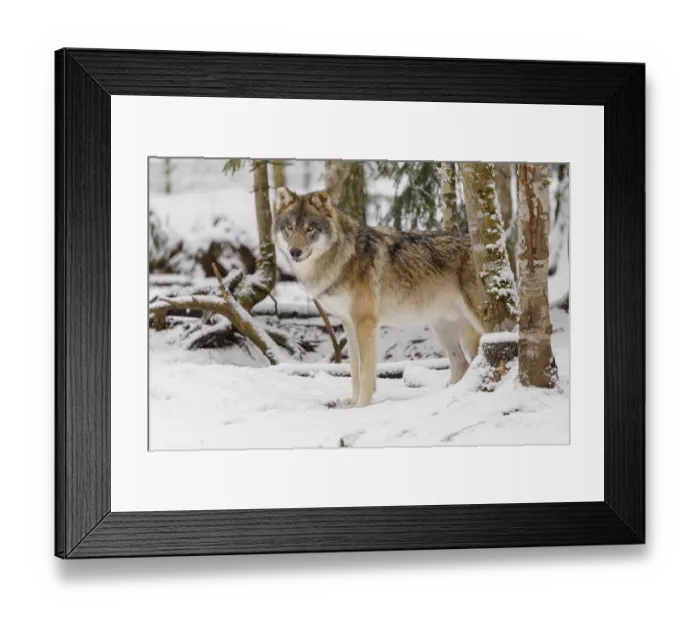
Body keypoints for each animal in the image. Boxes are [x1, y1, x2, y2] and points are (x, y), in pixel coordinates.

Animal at [273, 187, 485, 408]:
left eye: (310, 228)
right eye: (289, 227)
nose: (295, 252)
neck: (342, 257)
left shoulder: (366, 323)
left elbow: (365, 371)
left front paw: (361, 406)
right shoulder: (349, 324)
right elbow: (354, 368)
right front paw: (352, 403)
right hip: (442, 329)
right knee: (461, 365)